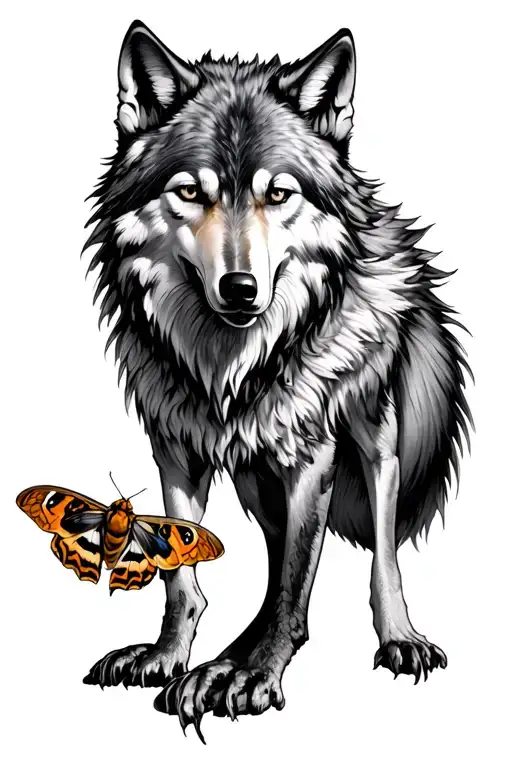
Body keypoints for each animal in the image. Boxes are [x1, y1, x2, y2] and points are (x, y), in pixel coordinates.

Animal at [83, 20, 472, 735]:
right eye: (190, 191)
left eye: (279, 192)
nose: (240, 289)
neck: (232, 363)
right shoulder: (175, 450)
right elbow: (182, 578)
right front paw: (169, 657)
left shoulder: (314, 456)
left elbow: (298, 581)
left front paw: (256, 675)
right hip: (258, 479)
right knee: (272, 557)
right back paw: (227, 653)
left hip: (372, 436)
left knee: (378, 551)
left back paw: (392, 638)